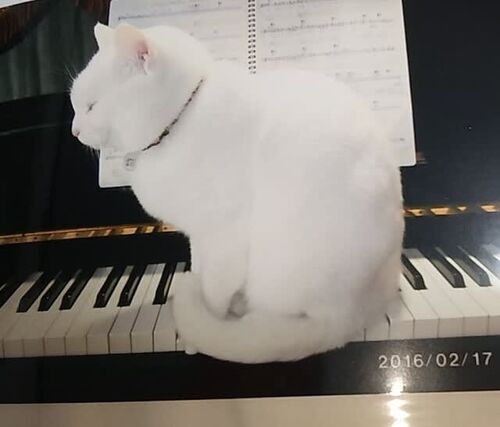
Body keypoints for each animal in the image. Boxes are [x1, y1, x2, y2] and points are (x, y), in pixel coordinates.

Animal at [71, 22, 404, 363]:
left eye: (91, 106)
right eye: (75, 106)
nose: (74, 131)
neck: (180, 122)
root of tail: (351, 316)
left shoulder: (224, 235)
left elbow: (213, 293)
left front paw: (202, 329)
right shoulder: (199, 236)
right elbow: (200, 272)